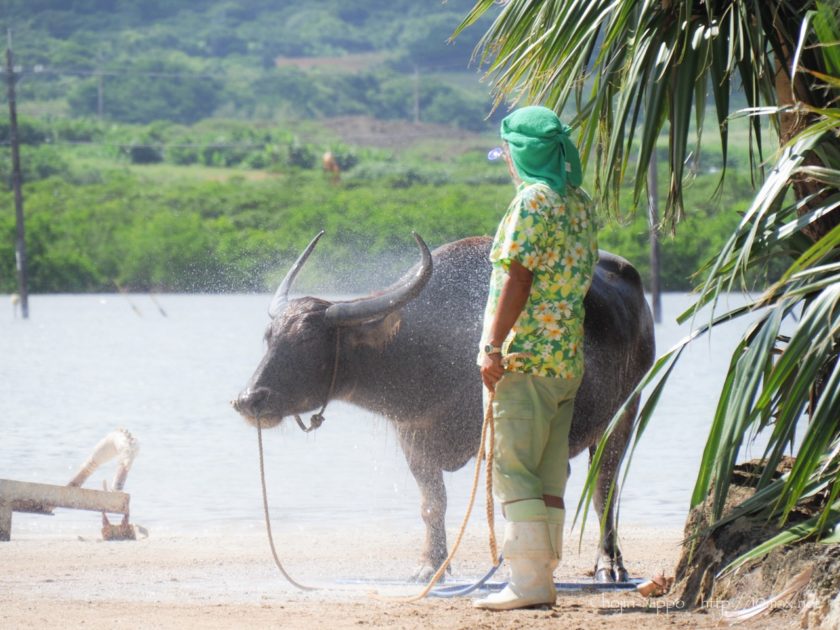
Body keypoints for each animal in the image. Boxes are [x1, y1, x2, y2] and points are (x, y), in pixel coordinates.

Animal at [235, 232, 656, 584]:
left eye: (308, 342)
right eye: (270, 338)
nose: (248, 399)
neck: (428, 355)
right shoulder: (413, 439)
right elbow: (432, 504)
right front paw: (430, 565)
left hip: (626, 411)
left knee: (603, 487)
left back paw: (608, 565)